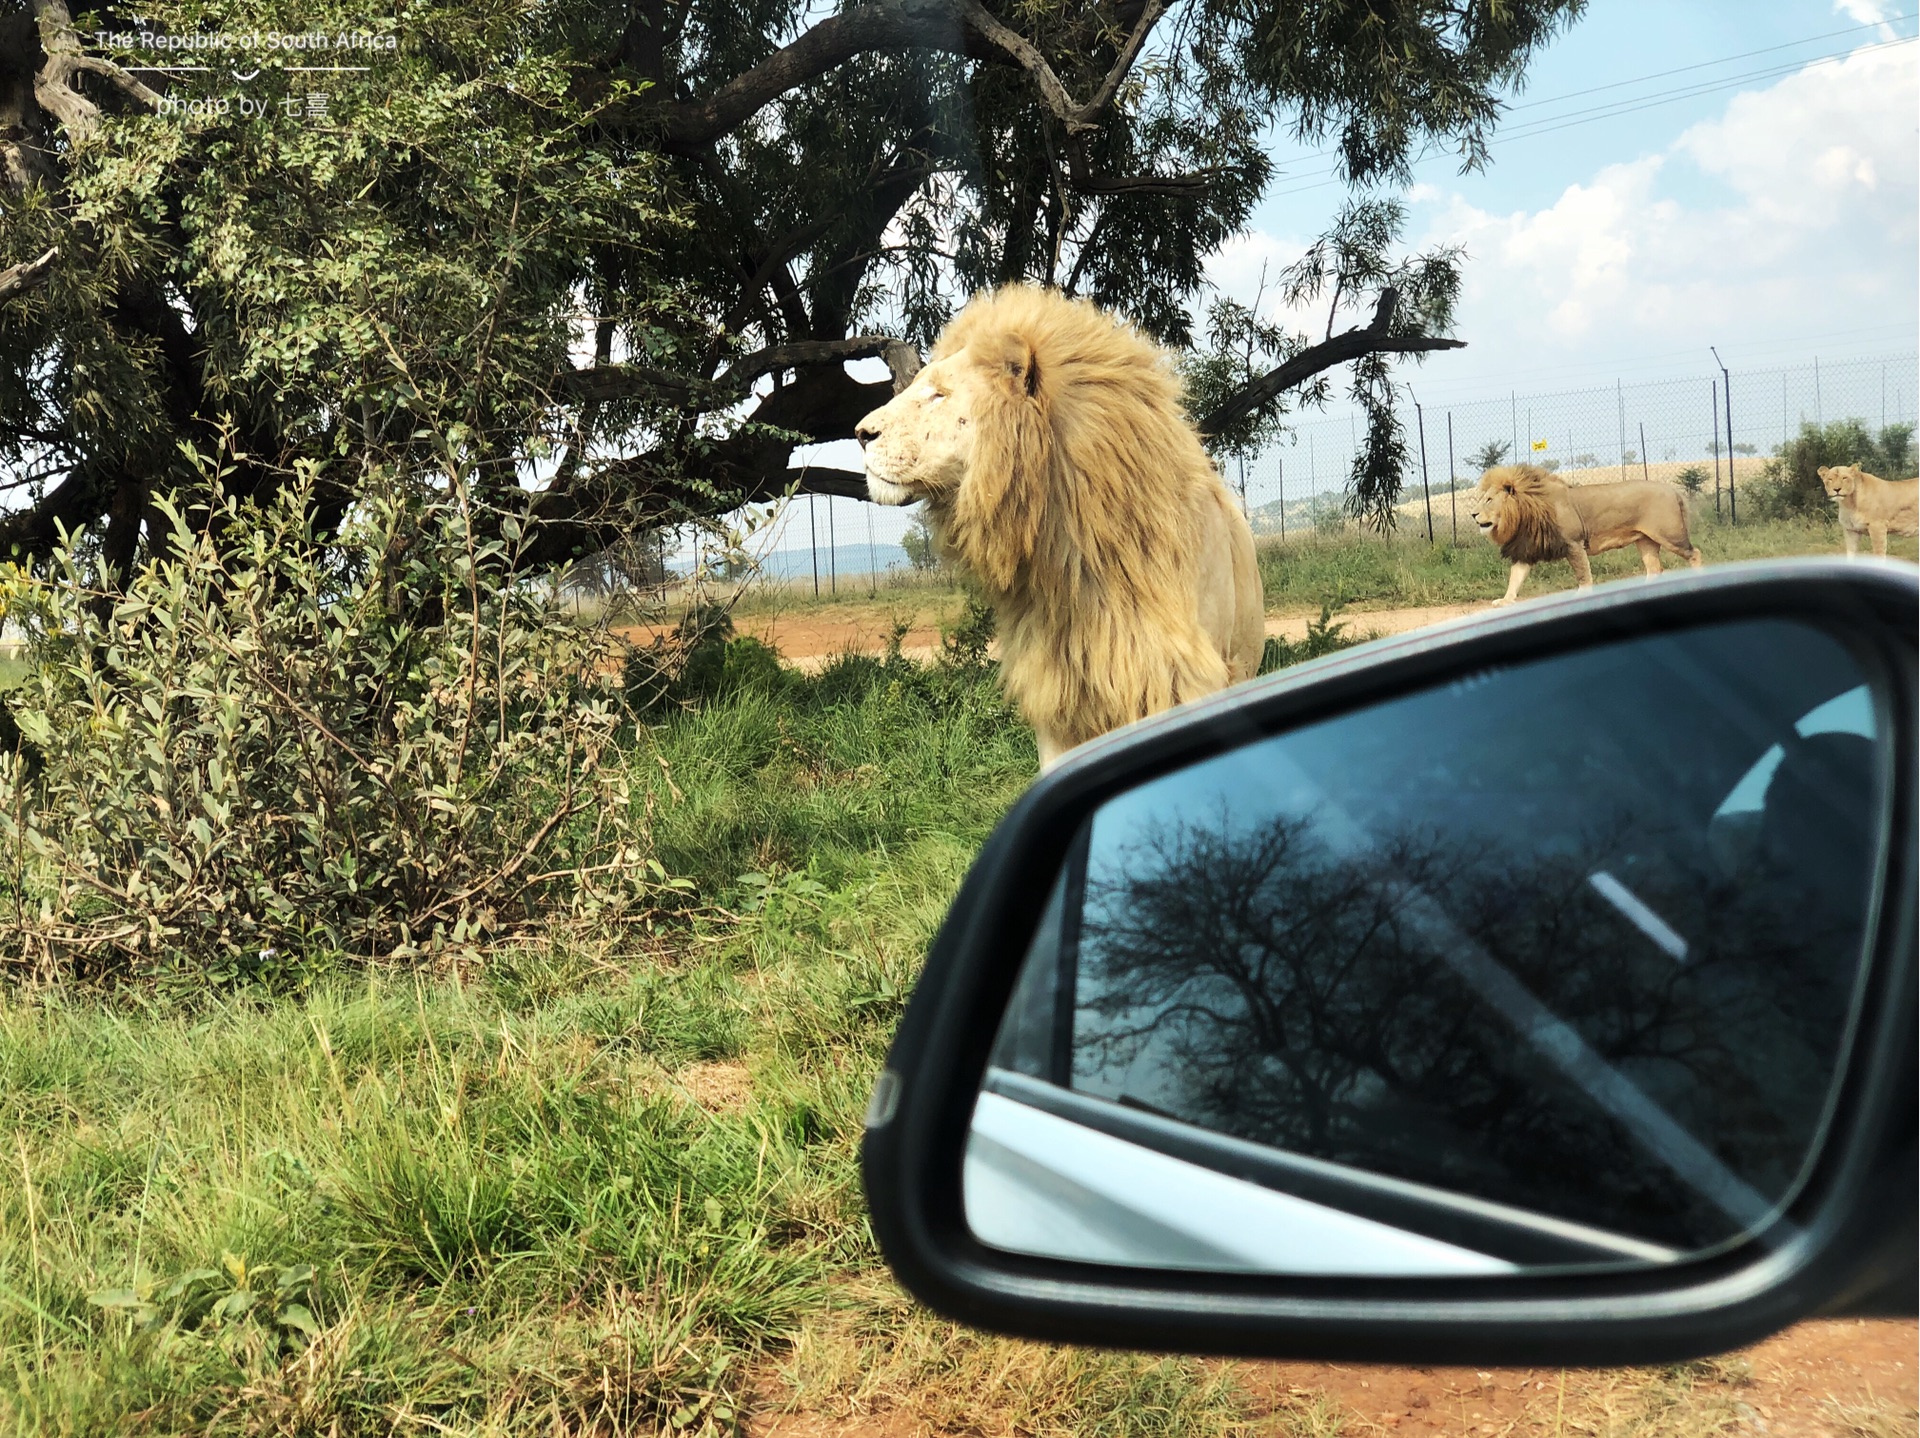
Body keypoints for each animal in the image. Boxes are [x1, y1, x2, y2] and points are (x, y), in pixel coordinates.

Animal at [1474, 466, 1704, 606]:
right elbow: (1515, 578)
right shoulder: (1526, 550)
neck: (1524, 513)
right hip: (1645, 541)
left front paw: (1582, 594)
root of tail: (1673, 490)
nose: (1473, 514)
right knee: (1655, 569)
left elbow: (1583, 573)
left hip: (1670, 535)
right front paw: (1505, 600)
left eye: (1488, 500)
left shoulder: (1574, 543)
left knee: (1695, 553)